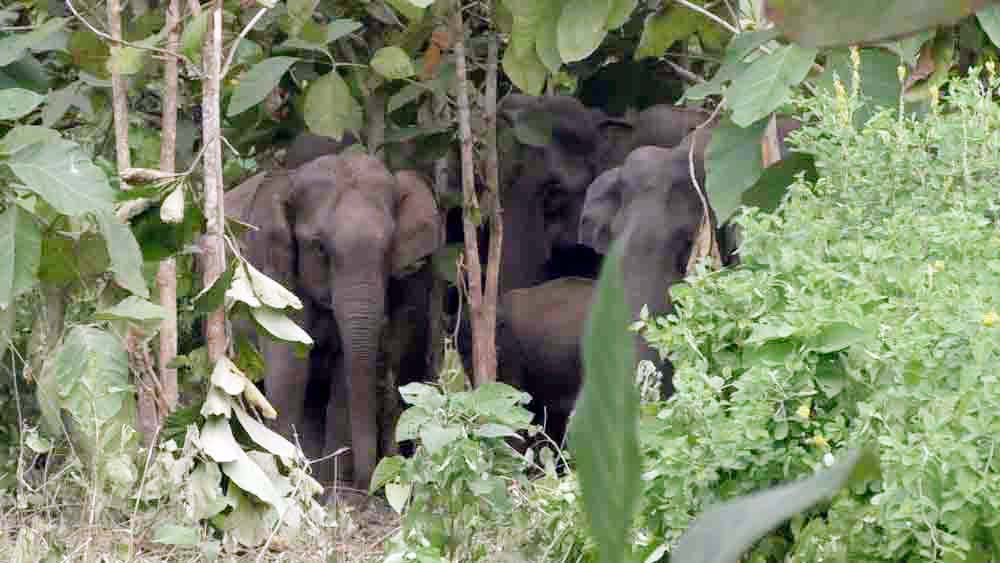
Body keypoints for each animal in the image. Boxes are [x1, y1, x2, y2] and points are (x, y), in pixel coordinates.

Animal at [225, 153, 444, 491]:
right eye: (319, 247)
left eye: (388, 248)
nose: (368, 485)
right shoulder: (272, 269)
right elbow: (288, 367)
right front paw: (286, 486)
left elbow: (342, 377)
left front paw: (333, 492)